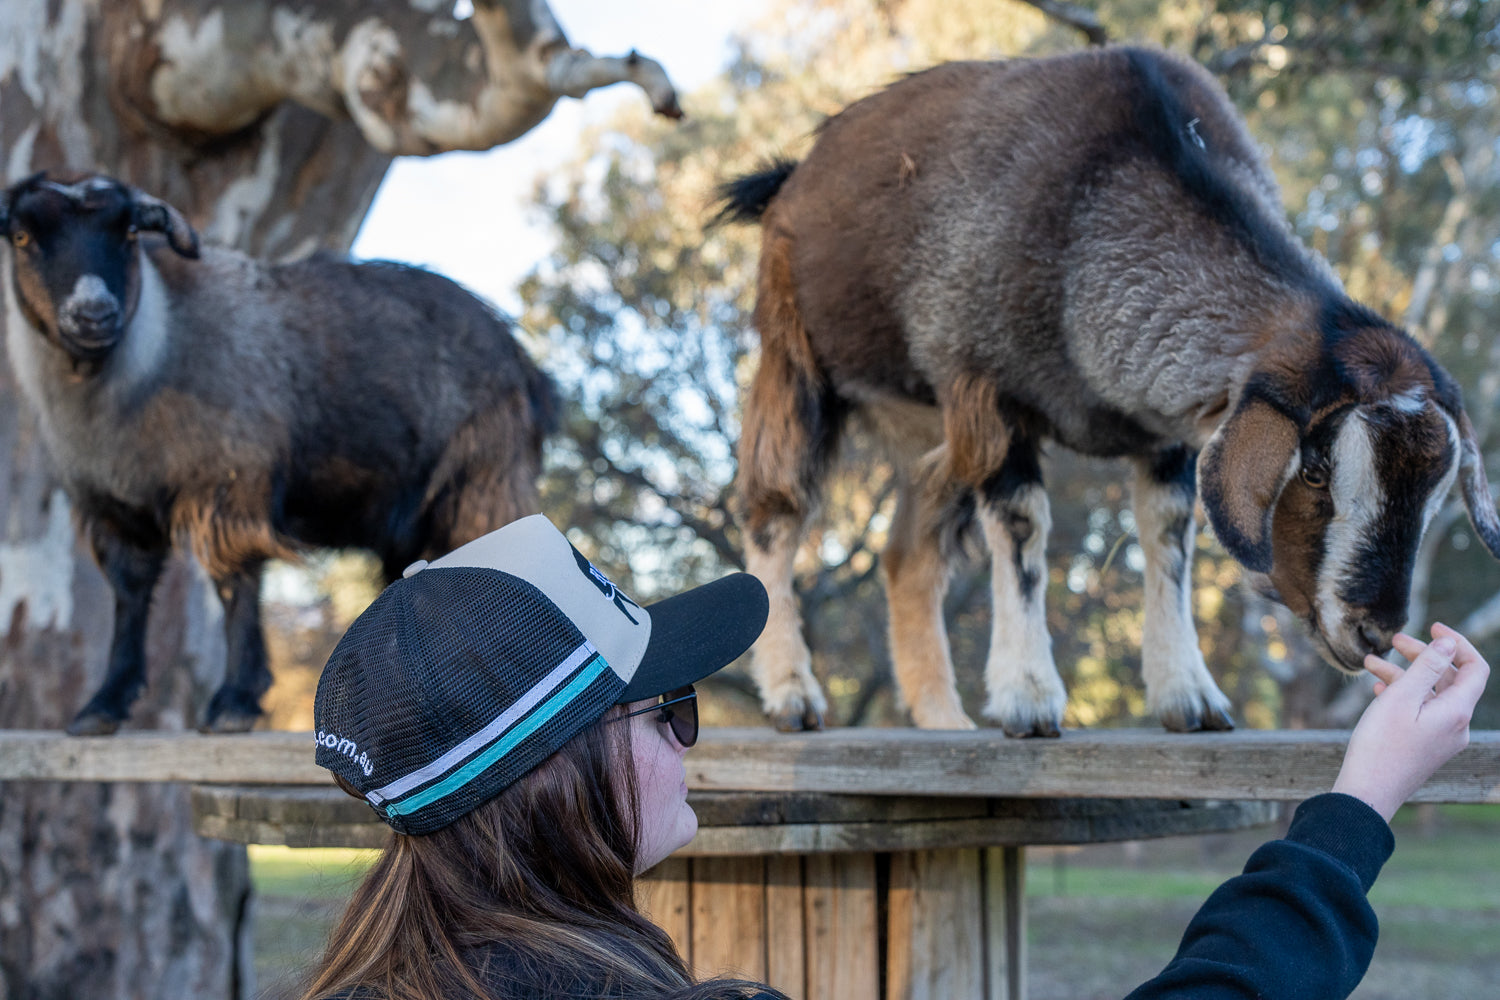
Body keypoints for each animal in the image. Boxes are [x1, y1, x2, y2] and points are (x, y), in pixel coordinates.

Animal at [2, 172, 555, 734]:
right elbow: (130, 598)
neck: (155, 349)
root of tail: (523, 360)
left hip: (485, 481)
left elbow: (236, 585)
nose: (93, 315)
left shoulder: (232, 482)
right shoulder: (113, 510)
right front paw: (103, 705)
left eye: (129, 231)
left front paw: (233, 703)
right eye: (22, 236)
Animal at [717, 44, 1500, 734]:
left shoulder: (1168, 428)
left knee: (909, 555)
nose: (1374, 632)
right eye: (1313, 469)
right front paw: (1029, 697)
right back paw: (792, 694)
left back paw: (943, 720)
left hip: (927, 430)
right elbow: (1023, 527)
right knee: (773, 513)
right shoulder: (984, 384)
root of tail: (794, 173)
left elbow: (1169, 533)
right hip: (796, 357)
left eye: (1436, 494)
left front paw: (1189, 697)